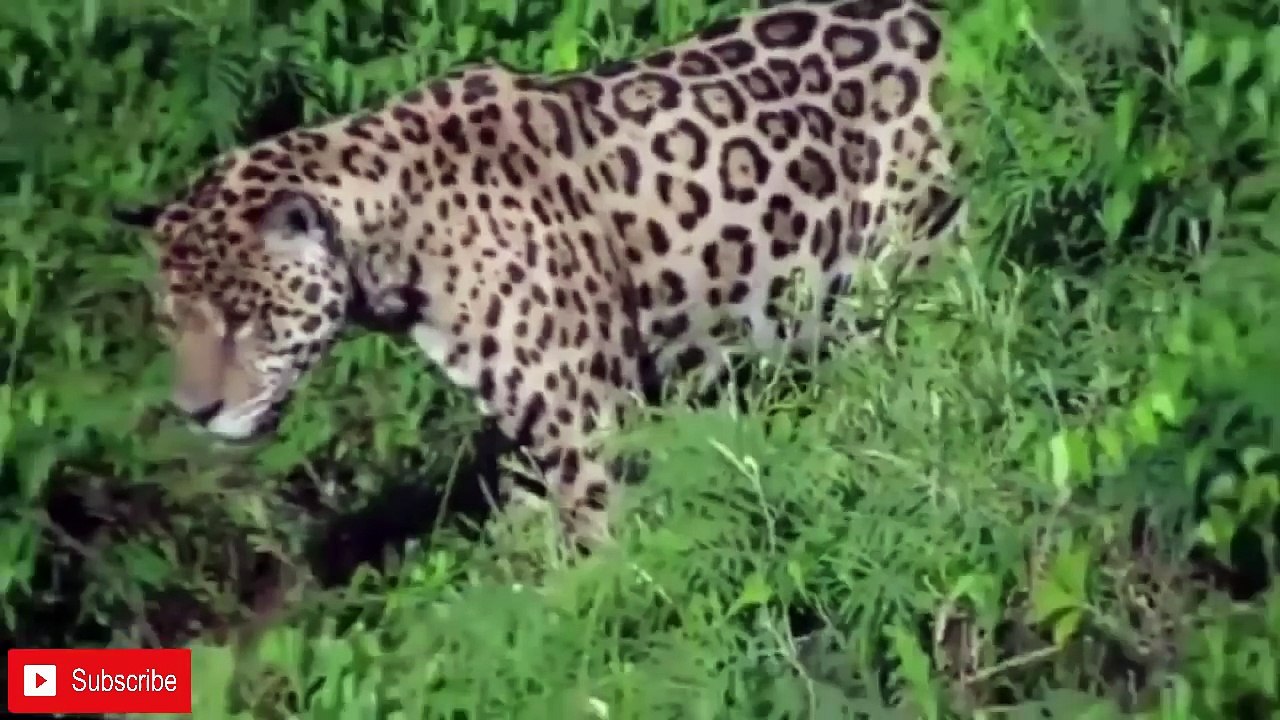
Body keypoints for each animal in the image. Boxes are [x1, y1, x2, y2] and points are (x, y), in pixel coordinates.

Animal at [113, 0, 967, 551]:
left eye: (244, 320)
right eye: (171, 323)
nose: (194, 412)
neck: (394, 243)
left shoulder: (586, 417)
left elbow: (600, 548)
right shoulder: (527, 422)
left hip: (918, 245)